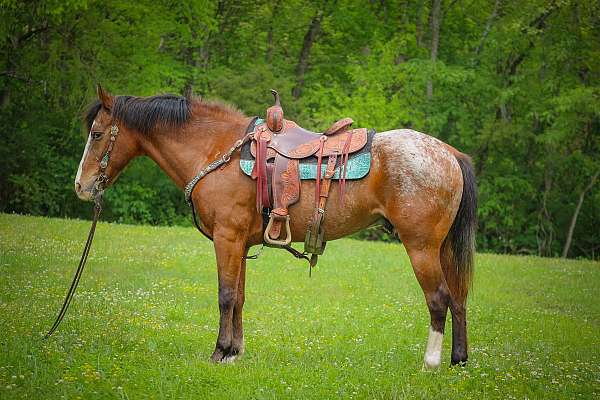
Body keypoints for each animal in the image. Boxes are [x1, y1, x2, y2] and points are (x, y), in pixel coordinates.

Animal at [75, 85, 476, 368]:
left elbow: (225, 296)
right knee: (458, 298)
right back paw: (458, 360)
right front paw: (234, 352)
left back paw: (431, 362)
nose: (81, 186)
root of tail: (450, 154)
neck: (217, 150)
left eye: (96, 134)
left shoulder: (226, 239)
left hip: (420, 247)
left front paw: (219, 352)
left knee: (439, 299)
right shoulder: (241, 243)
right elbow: (239, 297)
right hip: (441, 249)